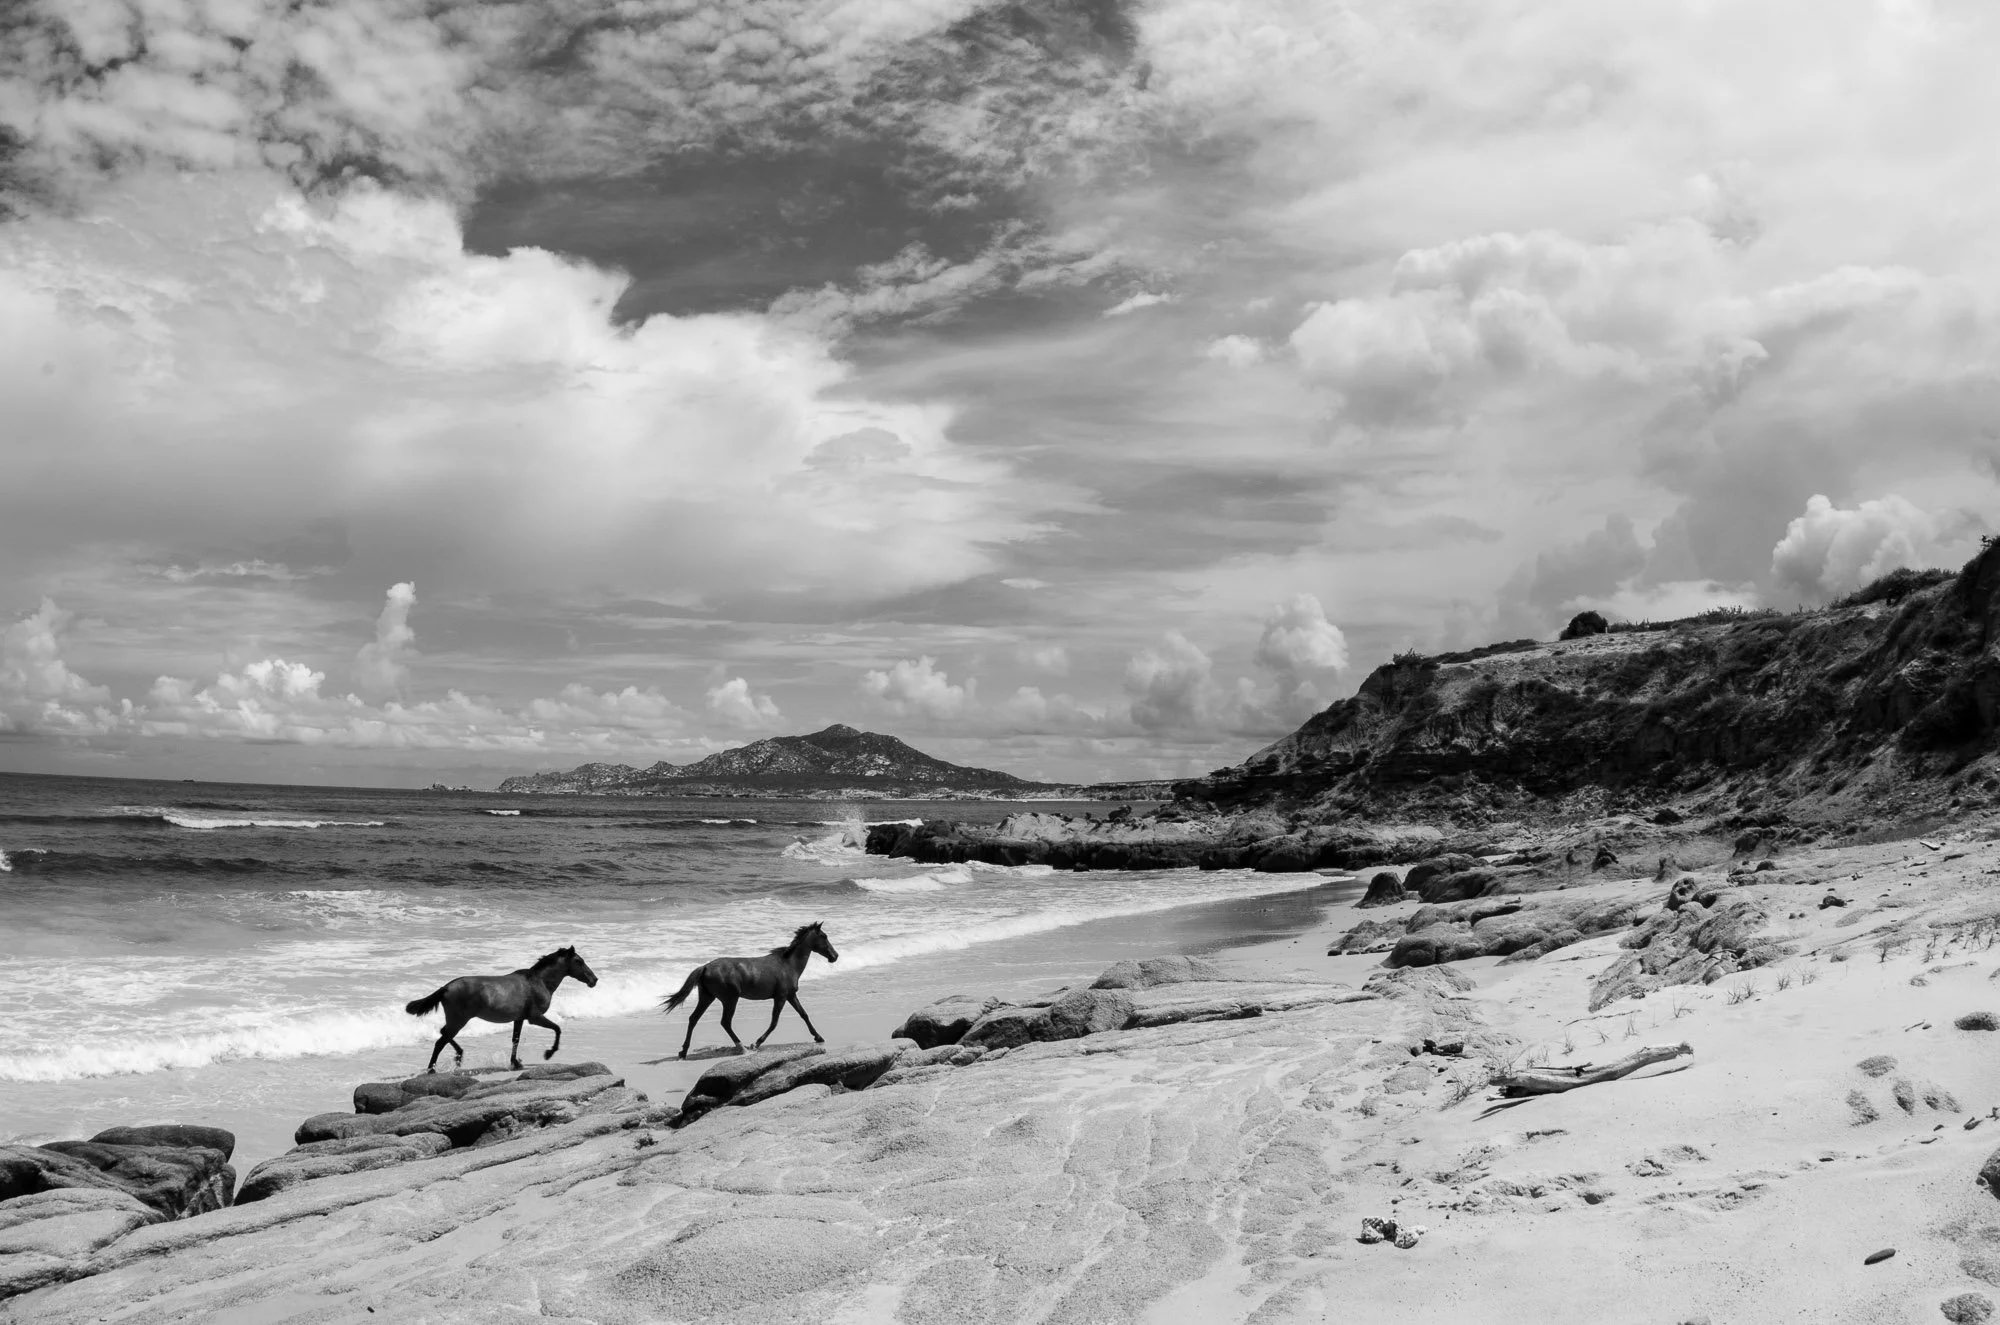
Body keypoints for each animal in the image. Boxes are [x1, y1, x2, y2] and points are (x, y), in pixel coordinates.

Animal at [404, 946, 599, 1073]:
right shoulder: (535, 1017)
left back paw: (459, 1056)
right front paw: (548, 1053)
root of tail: (446, 987)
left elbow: (515, 1039)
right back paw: (433, 1068)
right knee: (441, 1041)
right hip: (459, 1020)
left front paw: (516, 1063)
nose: (594, 980)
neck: (538, 982)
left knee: (443, 1034)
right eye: (579, 961)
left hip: (456, 1020)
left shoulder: (519, 1018)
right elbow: (557, 1029)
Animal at [659, 921, 838, 1059]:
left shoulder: (790, 995)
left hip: (707, 997)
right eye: (824, 936)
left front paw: (818, 1037)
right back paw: (742, 1048)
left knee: (693, 1019)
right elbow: (774, 1022)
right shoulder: (780, 997)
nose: (835, 956)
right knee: (725, 1022)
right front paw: (756, 1043)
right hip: (730, 999)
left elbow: (804, 1014)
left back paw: (683, 1052)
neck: (788, 965)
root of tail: (704, 967)